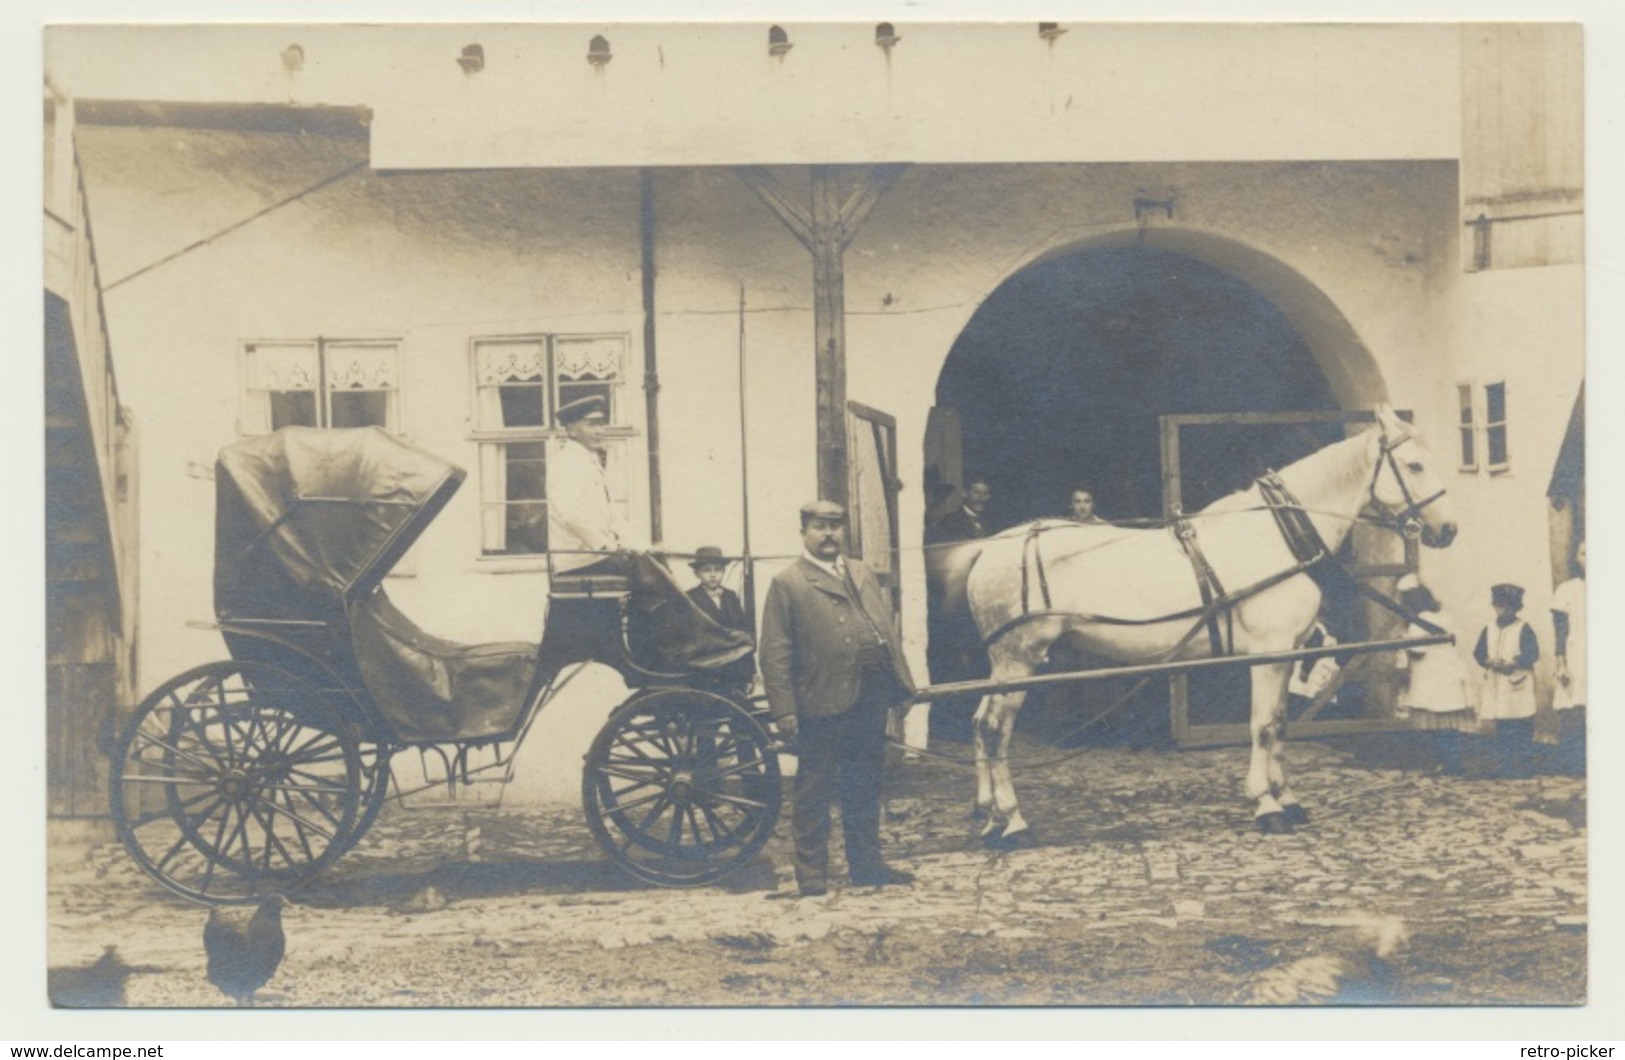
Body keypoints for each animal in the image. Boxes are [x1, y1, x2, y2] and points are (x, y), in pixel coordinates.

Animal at [955, 406, 1456, 845]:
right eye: (1414, 464)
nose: (1448, 531)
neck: (1279, 535)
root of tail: (987, 549)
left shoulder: (1288, 651)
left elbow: (1281, 723)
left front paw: (1288, 799)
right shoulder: (1268, 653)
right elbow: (1262, 726)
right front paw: (1266, 806)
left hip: (1005, 664)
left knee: (979, 722)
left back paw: (989, 816)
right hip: (1018, 660)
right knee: (995, 729)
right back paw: (1014, 822)